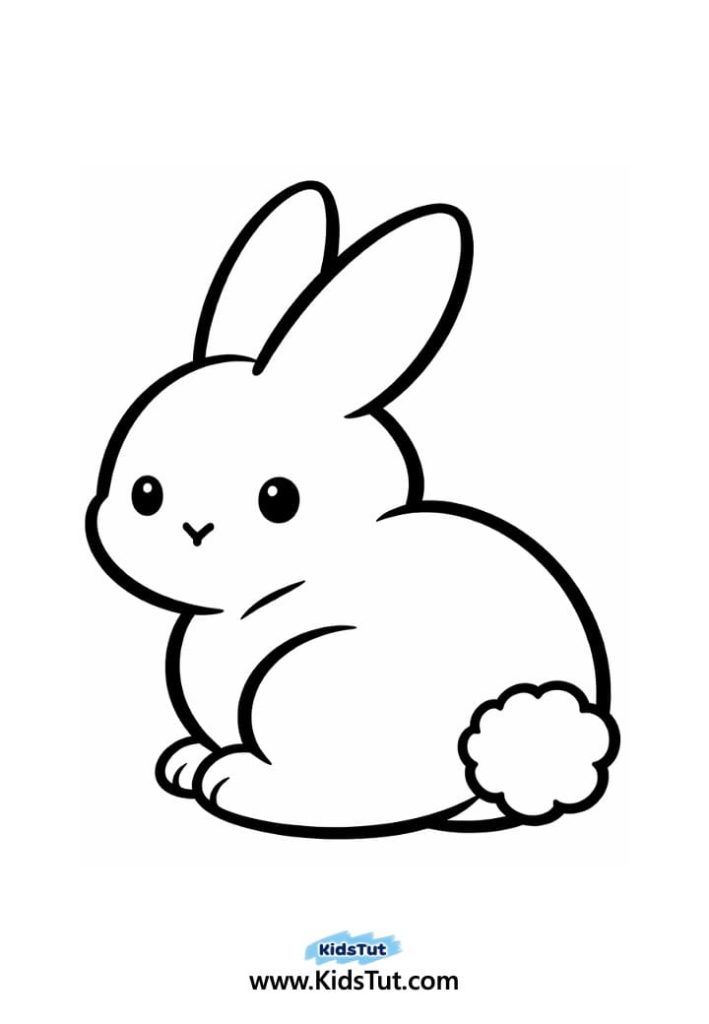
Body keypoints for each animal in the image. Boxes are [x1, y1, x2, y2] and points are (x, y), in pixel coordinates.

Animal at [85, 180, 619, 838]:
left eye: (278, 499)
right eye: (146, 493)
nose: (195, 530)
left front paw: (212, 773)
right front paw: (184, 762)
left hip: (308, 679)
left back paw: (237, 783)